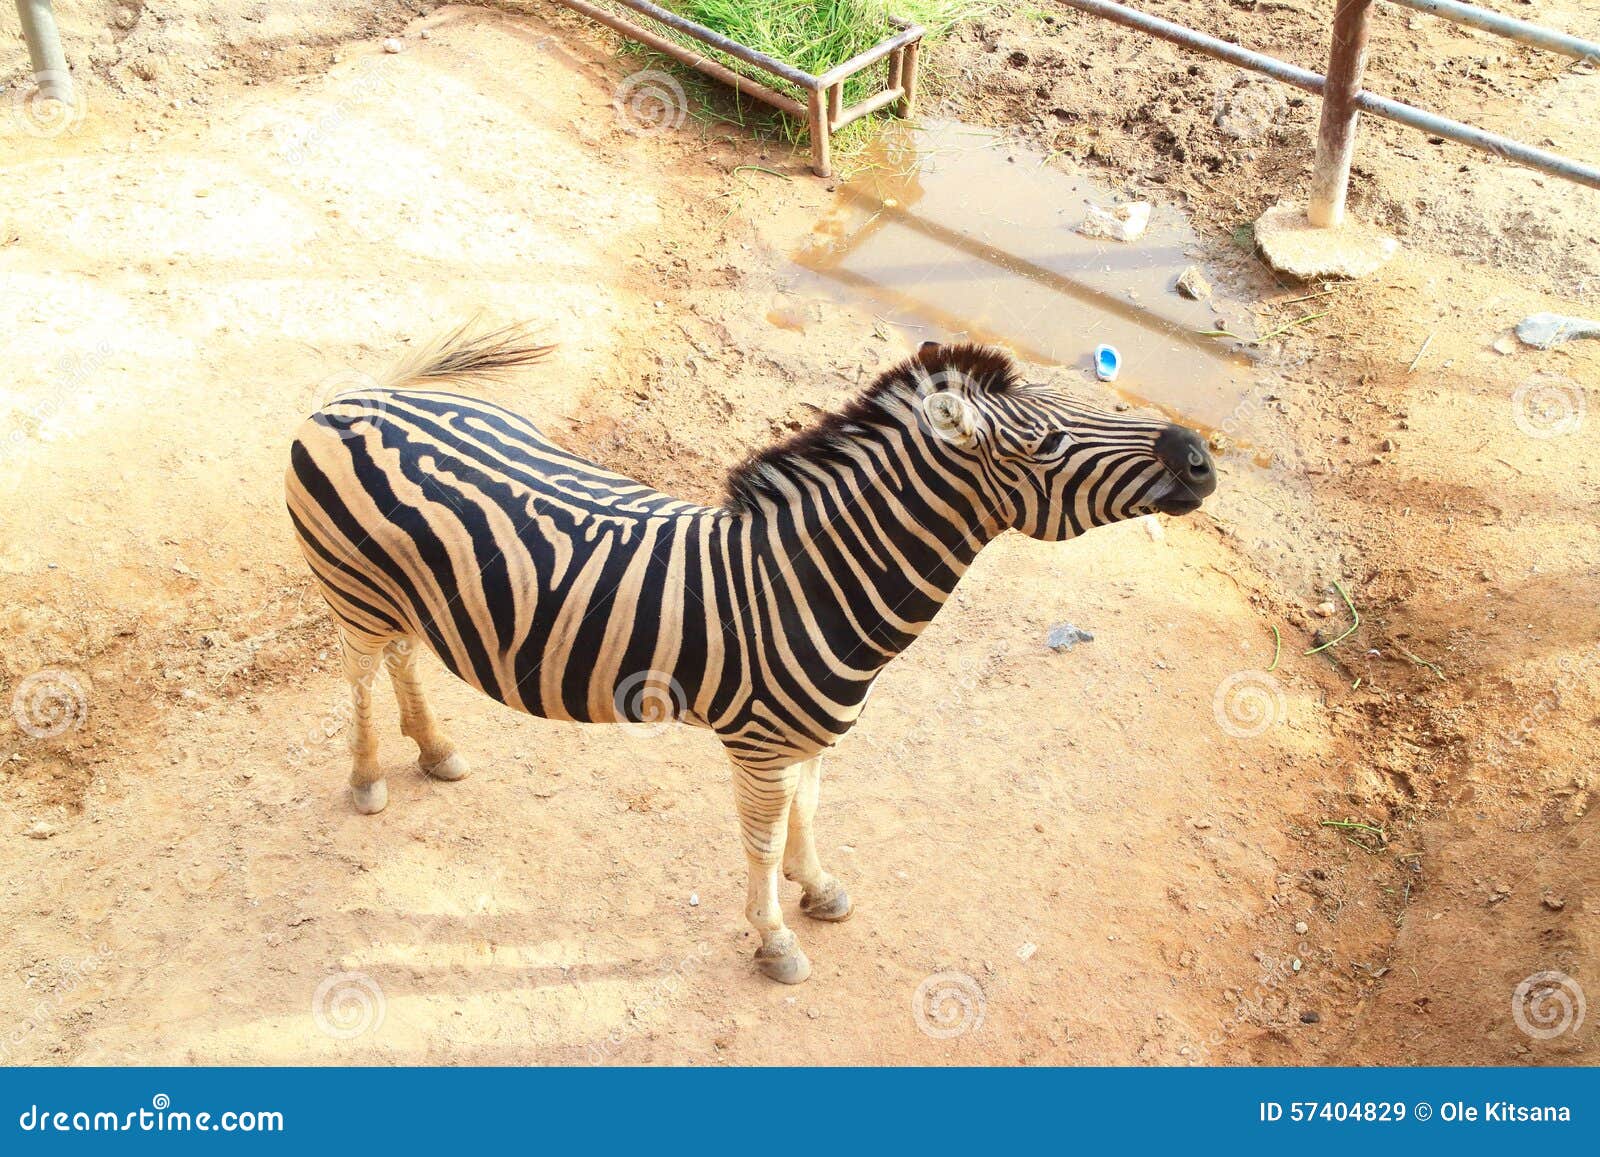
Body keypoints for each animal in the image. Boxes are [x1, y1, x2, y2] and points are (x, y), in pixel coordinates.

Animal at [285, 326, 1216, 984]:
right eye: (1043, 444)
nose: (1201, 456)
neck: (811, 584)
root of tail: (354, 399)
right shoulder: (759, 746)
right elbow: (762, 842)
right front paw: (774, 941)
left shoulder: (810, 737)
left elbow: (811, 810)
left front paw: (820, 888)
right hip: (351, 587)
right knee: (360, 676)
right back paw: (368, 777)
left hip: (404, 595)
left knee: (402, 659)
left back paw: (435, 749)